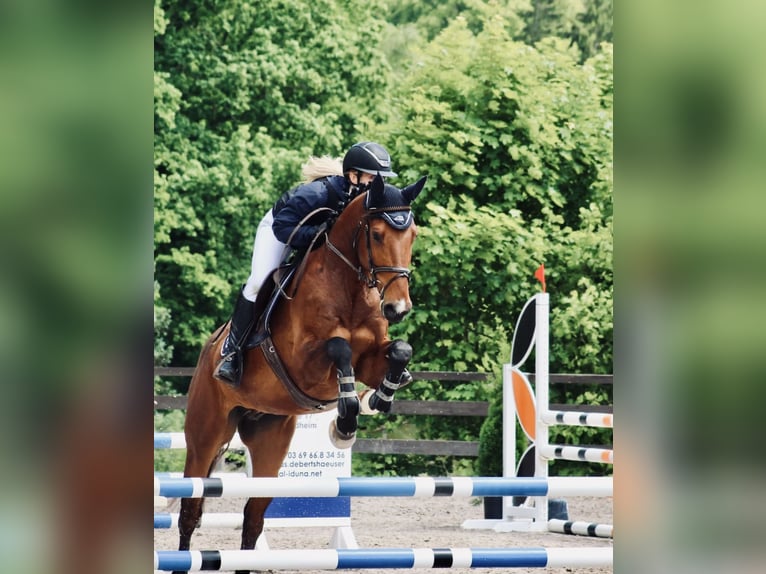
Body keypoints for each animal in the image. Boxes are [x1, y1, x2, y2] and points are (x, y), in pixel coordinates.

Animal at [174, 174, 426, 574]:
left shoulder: (371, 357)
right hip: (205, 435)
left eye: (413, 233)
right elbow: (338, 349)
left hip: (270, 440)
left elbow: (400, 350)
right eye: (376, 235)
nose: (397, 308)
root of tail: (208, 351)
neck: (350, 287)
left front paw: (378, 398)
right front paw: (345, 422)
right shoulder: (303, 363)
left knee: (252, 518)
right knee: (190, 509)